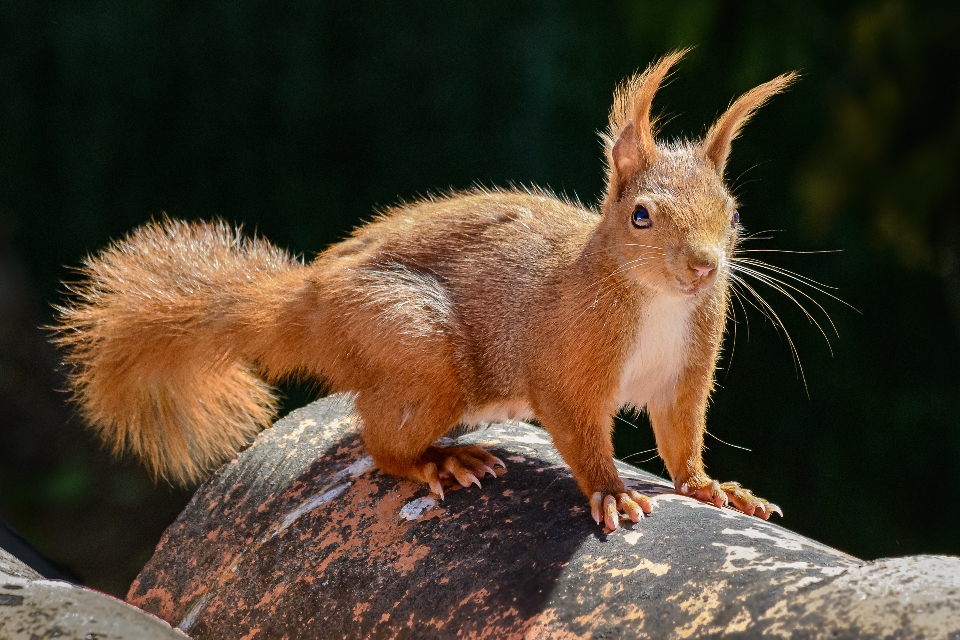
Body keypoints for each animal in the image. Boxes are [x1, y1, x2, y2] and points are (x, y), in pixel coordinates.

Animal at [50, 51, 796, 528]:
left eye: (733, 214)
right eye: (640, 215)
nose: (703, 268)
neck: (657, 301)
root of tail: (308, 302)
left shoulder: (685, 370)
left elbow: (681, 436)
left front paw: (714, 487)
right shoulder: (565, 359)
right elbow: (582, 432)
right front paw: (611, 494)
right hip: (416, 344)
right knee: (380, 445)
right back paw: (440, 462)